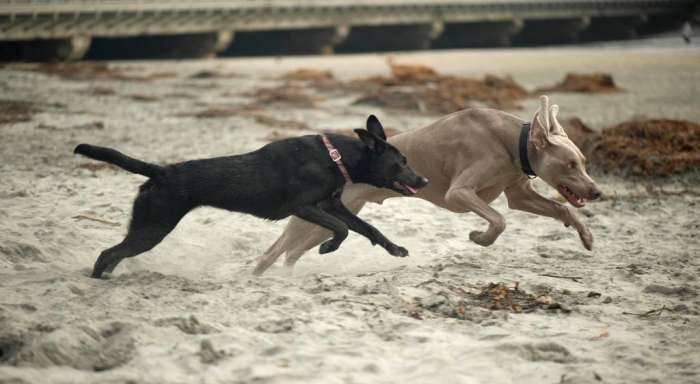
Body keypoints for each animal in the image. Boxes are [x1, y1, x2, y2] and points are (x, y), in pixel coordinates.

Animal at [76, 115, 426, 278]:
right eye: (400, 163)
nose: (423, 179)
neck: (335, 156)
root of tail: (161, 172)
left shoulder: (331, 204)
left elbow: (367, 228)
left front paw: (395, 249)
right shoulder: (303, 206)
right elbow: (341, 229)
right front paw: (327, 247)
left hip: (146, 226)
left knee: (115, 254)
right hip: (153, 226)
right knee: (108, 253)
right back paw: (97, 280)